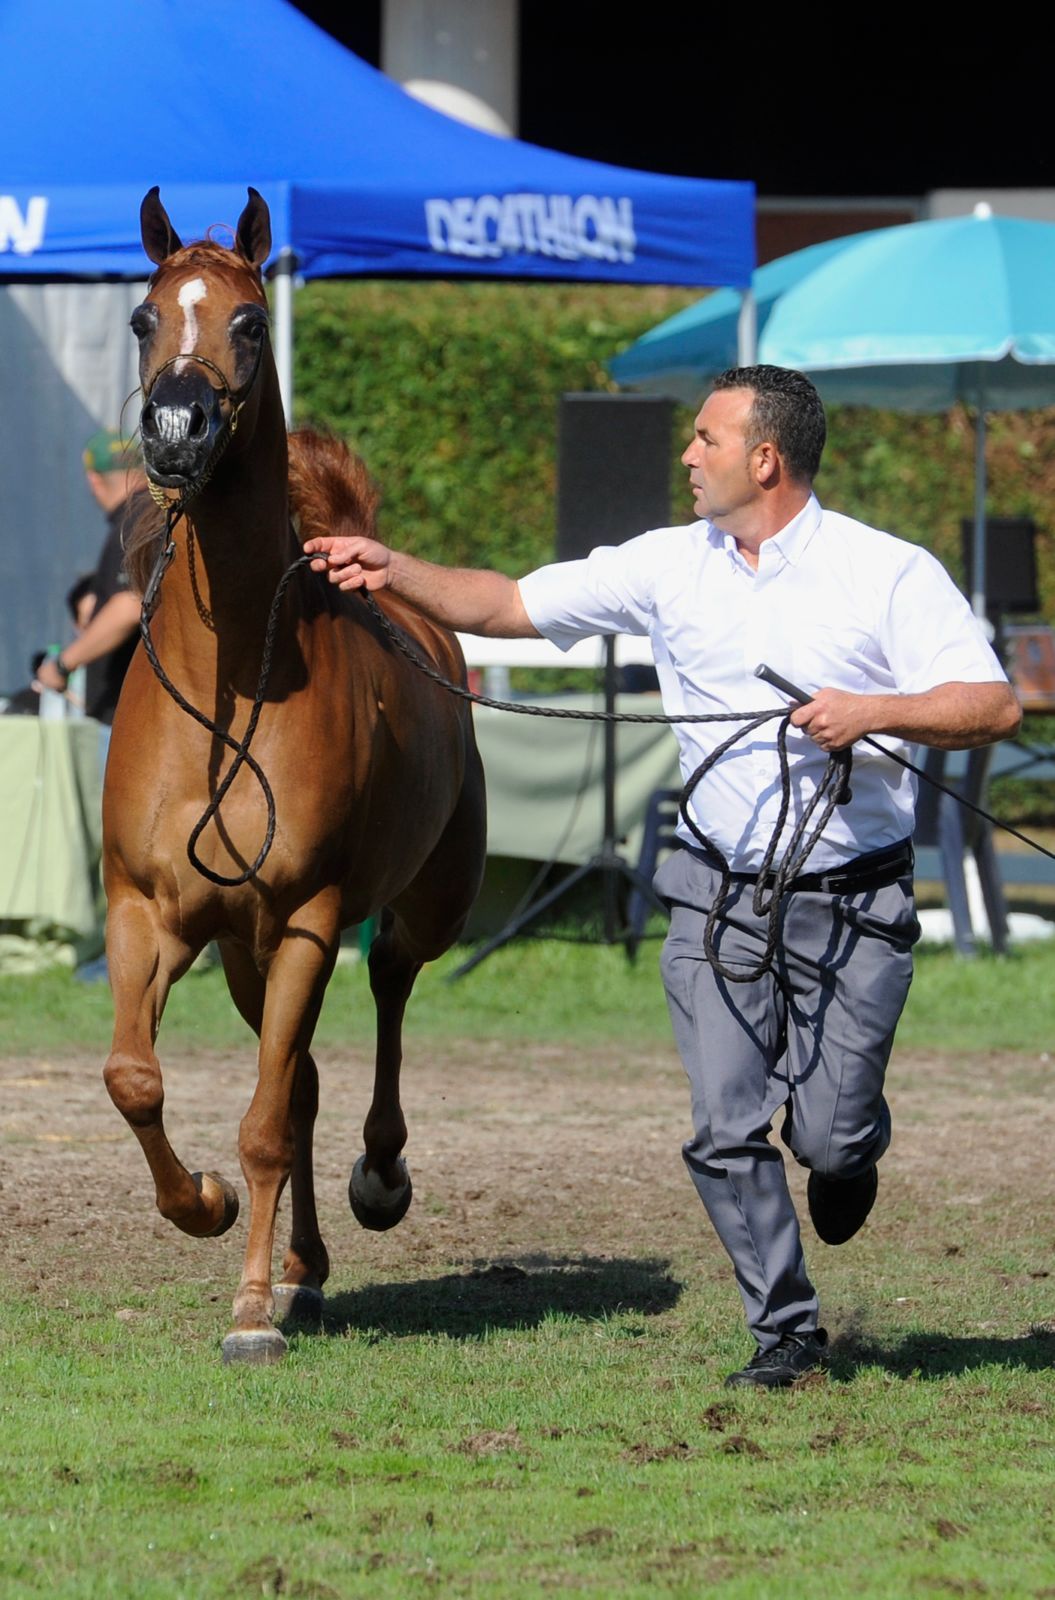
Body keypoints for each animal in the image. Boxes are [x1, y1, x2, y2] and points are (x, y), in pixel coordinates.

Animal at [103, 187, 486, 1363]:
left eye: (246, 321)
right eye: (142, 317)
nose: (175, 431)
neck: (227, 697)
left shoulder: (311, 916)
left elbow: (265, 1123)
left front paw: (246, 1314)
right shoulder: (148, 911)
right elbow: (136, 1079)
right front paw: (206, 1207)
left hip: (414, 909)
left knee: (390, 989)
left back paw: (377, 1181)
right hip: (244, 954)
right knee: (306, 1077)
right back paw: (306, 1273)